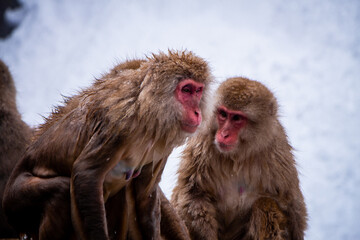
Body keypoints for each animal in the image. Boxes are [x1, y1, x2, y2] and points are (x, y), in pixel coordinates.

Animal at [3, 51, 214, 240]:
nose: (197, 112)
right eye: (186, 90)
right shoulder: (118, 125)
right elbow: (86, 174)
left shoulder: (163, 145)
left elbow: (145, 196)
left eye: (198, 91)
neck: (147, 113)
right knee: (61, 192)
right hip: (16, 201)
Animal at [172, 77, 306, 240]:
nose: (224, 134)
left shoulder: (278, 156)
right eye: (223, 114)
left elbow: (293, 209)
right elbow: (194, 193)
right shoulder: (202, 143)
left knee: (265, 204)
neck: (238, 155)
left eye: (236, 118)